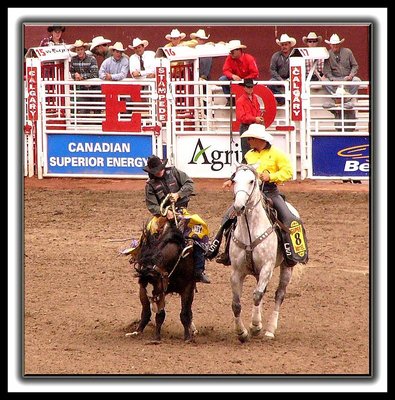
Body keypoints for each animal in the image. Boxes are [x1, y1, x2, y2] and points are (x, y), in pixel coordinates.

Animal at [230, 164, 298, 342]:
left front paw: (255, 326)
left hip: (286, 268)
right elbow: (236, 304)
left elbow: (257, 296)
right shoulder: (236, 272)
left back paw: (269, 330)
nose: (238, 207)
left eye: (251, 181)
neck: (250, 230)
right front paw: (241, 332)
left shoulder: (267, 268)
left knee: (278, 295)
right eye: (234, 180)